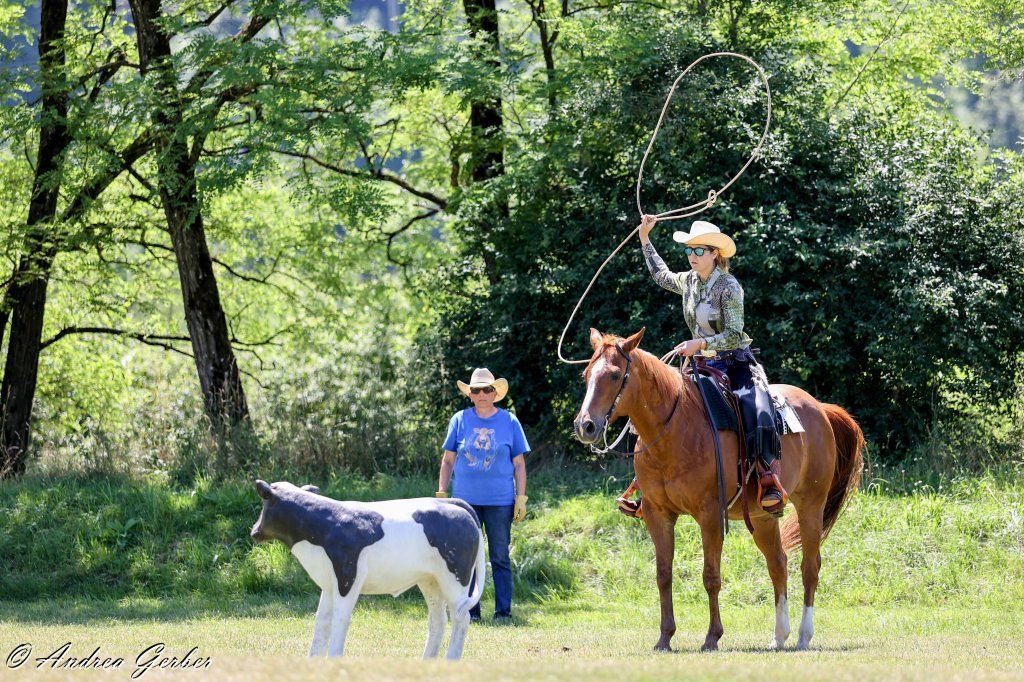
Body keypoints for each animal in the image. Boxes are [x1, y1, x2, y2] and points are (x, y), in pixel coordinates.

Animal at [573, 327, 863, 652]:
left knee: (810, 566)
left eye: (614, 375)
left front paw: (712, 636)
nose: (585, 426)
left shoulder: (709, 514)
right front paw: (665, 637)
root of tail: (820, 408)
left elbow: (711, 576)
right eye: (586, 374)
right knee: (778, 564)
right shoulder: (656, 514)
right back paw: (779, 636)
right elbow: (663, 575)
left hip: (811, 504)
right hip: (762, 517)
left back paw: (803, 636)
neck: (674, 430)